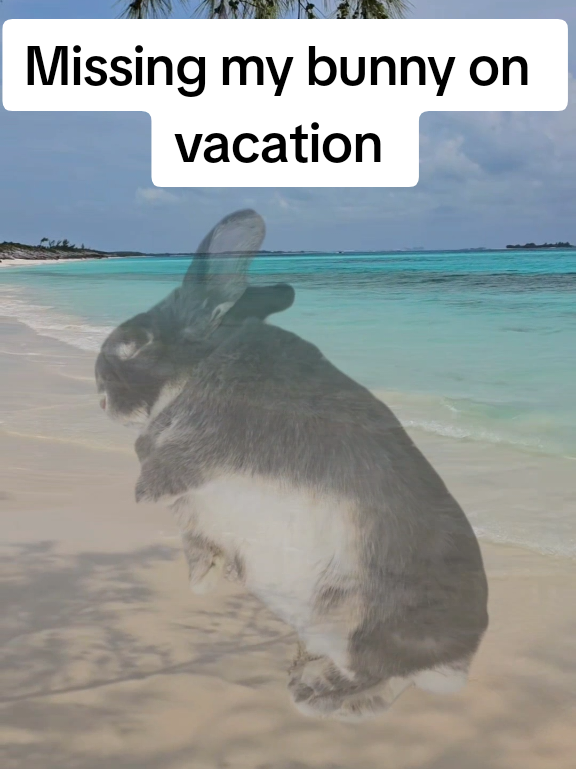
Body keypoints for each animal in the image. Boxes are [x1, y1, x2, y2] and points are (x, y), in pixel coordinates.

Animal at [95, 209, 489, 722]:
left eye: (133, 344)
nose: (101, 398)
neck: (200, 362)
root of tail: (457, 661)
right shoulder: (199, 511)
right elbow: (198, 537)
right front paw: (204, 580)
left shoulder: (214, 434)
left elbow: (175, 462)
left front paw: (144, 490)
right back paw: (303, 669)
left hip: (361, 620)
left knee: (382, 677)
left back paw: (315, 694)